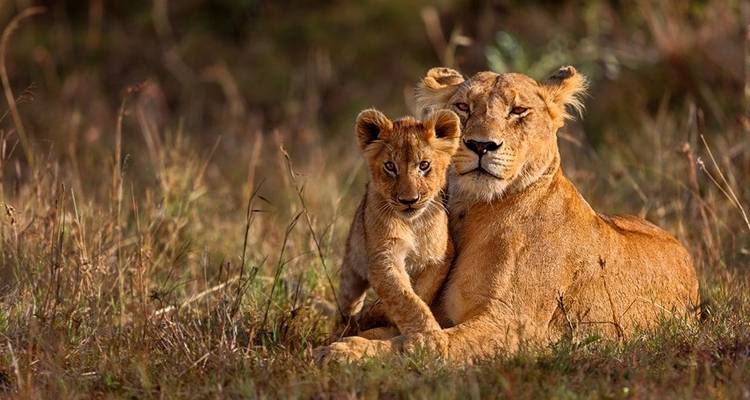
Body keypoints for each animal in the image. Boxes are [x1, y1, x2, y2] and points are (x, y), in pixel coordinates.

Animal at [333, 108, 461, 339]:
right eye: (390, 166)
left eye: (424, 165)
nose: (409, 200)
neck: (413, 224)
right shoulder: (384, 256)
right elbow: (404, 298)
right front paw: (429, 336)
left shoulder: (441, 256)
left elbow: (420, 292)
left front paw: (384, 315)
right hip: (351, 270)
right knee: (347, 305)